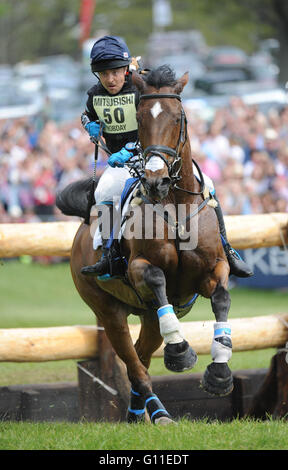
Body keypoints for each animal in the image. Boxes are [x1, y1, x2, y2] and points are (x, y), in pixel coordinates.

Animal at [56, 67, 234, 426]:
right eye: (139, 117)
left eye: (178, 117)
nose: (155, 181)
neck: (175, 203)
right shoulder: (140, 268)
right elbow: (156, 276)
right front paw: (180, 353)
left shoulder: (212, 269)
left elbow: (221, 296)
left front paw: (220, 373)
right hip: (107, 310)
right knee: (134, 363)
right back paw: (159, 411)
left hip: (149, 315)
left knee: (141, 355)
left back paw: (139, 412)